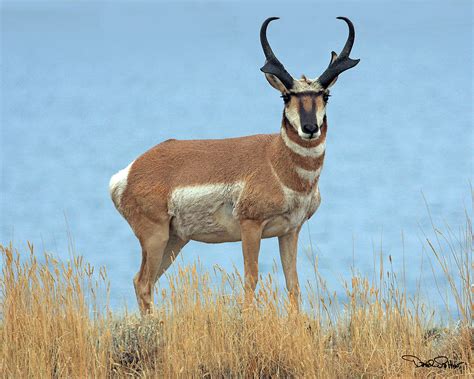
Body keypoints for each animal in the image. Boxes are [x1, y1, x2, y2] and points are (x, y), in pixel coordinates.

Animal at [108, 16, 360, 314]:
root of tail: (129, 172)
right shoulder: (250, 226)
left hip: (174, 239)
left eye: (326, 96)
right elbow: (251, 278)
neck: (277, 163)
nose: (310, 128)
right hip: (155, 236)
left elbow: (293, 283)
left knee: (143, 281)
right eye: (286, 96)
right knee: (143, 282)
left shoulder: (290, 230)